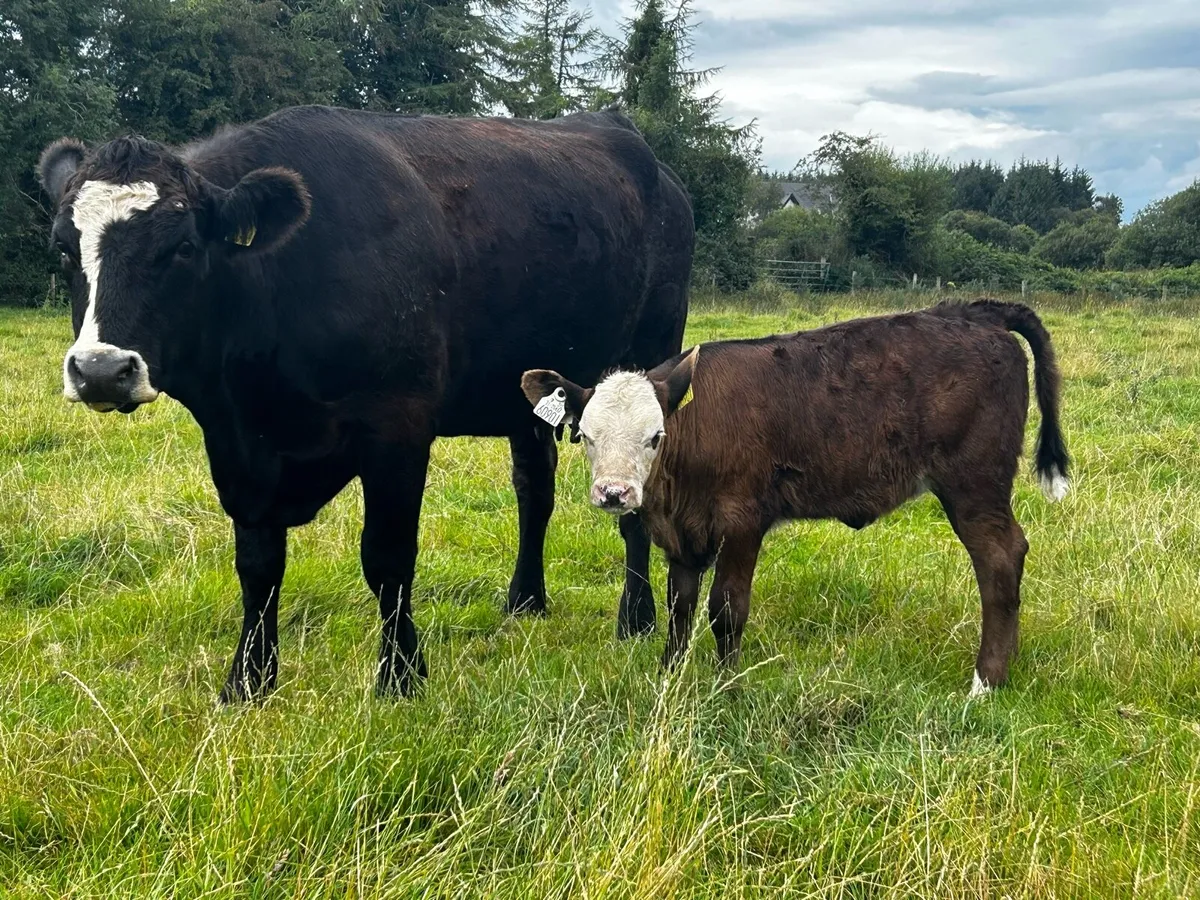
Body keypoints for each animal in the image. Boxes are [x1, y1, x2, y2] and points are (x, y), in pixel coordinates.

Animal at [37, 104, 693, 701]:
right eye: (65, 251)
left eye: (183, 247)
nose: (101, 370)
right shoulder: (239, 448)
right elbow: (257, 566)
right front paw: (249, 681)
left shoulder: (397, 427)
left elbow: (387, 557)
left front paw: (401, 677)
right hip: (529, 391)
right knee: (535, 490)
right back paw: (525, 600)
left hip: (645, 358)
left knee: (631, 502)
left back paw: (636, 617)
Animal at [522, 300, 1070, 695]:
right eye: (586, 435)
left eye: (654, 436)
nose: (615, 492)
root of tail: (974, 315)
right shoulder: (683, 532)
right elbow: (681, 606)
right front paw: (669, 678)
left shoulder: (742, 519)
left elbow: (726, 608)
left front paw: (726, 686)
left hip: (974, 484)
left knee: (1000, 558)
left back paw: (986, 682)